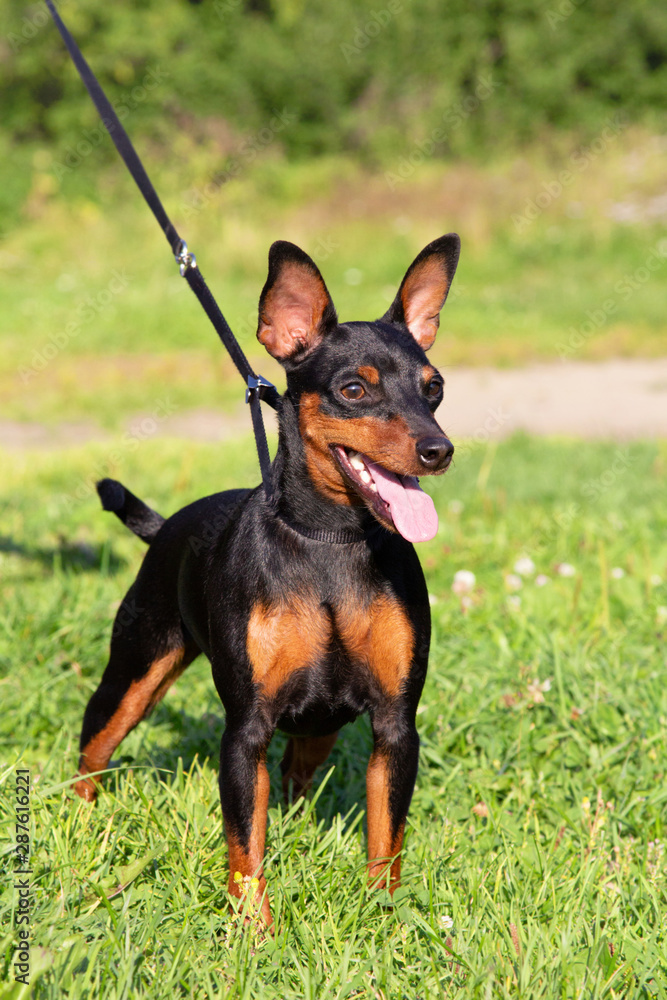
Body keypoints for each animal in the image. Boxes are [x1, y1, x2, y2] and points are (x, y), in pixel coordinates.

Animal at [73, 232, 460, 920]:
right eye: (353, 390)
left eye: (434, 387)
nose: (438, 450)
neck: (332, 540)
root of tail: (167, 525)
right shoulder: (245, 729)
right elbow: (245, 846)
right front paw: (254, 929)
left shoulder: (395, 723)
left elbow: (386, 838)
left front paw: (384, 916)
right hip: (134, 674)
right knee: (92, 754)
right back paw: (83, 828)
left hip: (321, 724)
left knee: (294, 779)